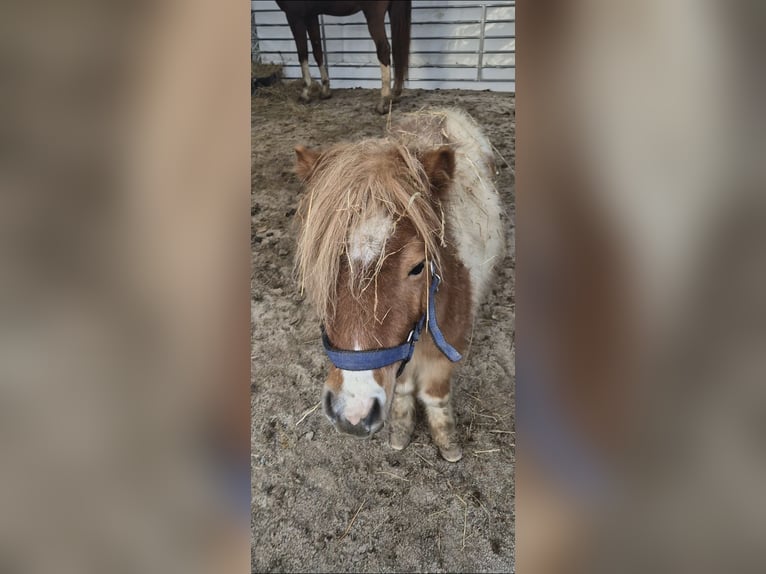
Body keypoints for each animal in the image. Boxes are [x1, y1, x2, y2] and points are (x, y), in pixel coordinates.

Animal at [274, 0, 412, 114]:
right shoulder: (311, 15)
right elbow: (317, 51)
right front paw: (325, 90)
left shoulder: (295, 16)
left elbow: (302, 54)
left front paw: (305, 93)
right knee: (398, 48)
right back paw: (394, 96)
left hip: (374, 15)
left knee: (383, 50)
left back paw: (383, 102)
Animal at [292, 109, 504, 464]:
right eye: (322, 259)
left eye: (417, 267)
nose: (353, 412)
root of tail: (443, 111)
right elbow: (403, 389)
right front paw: (402, 429)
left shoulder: (447, 350)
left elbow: (434, 394)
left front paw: (447, 441)